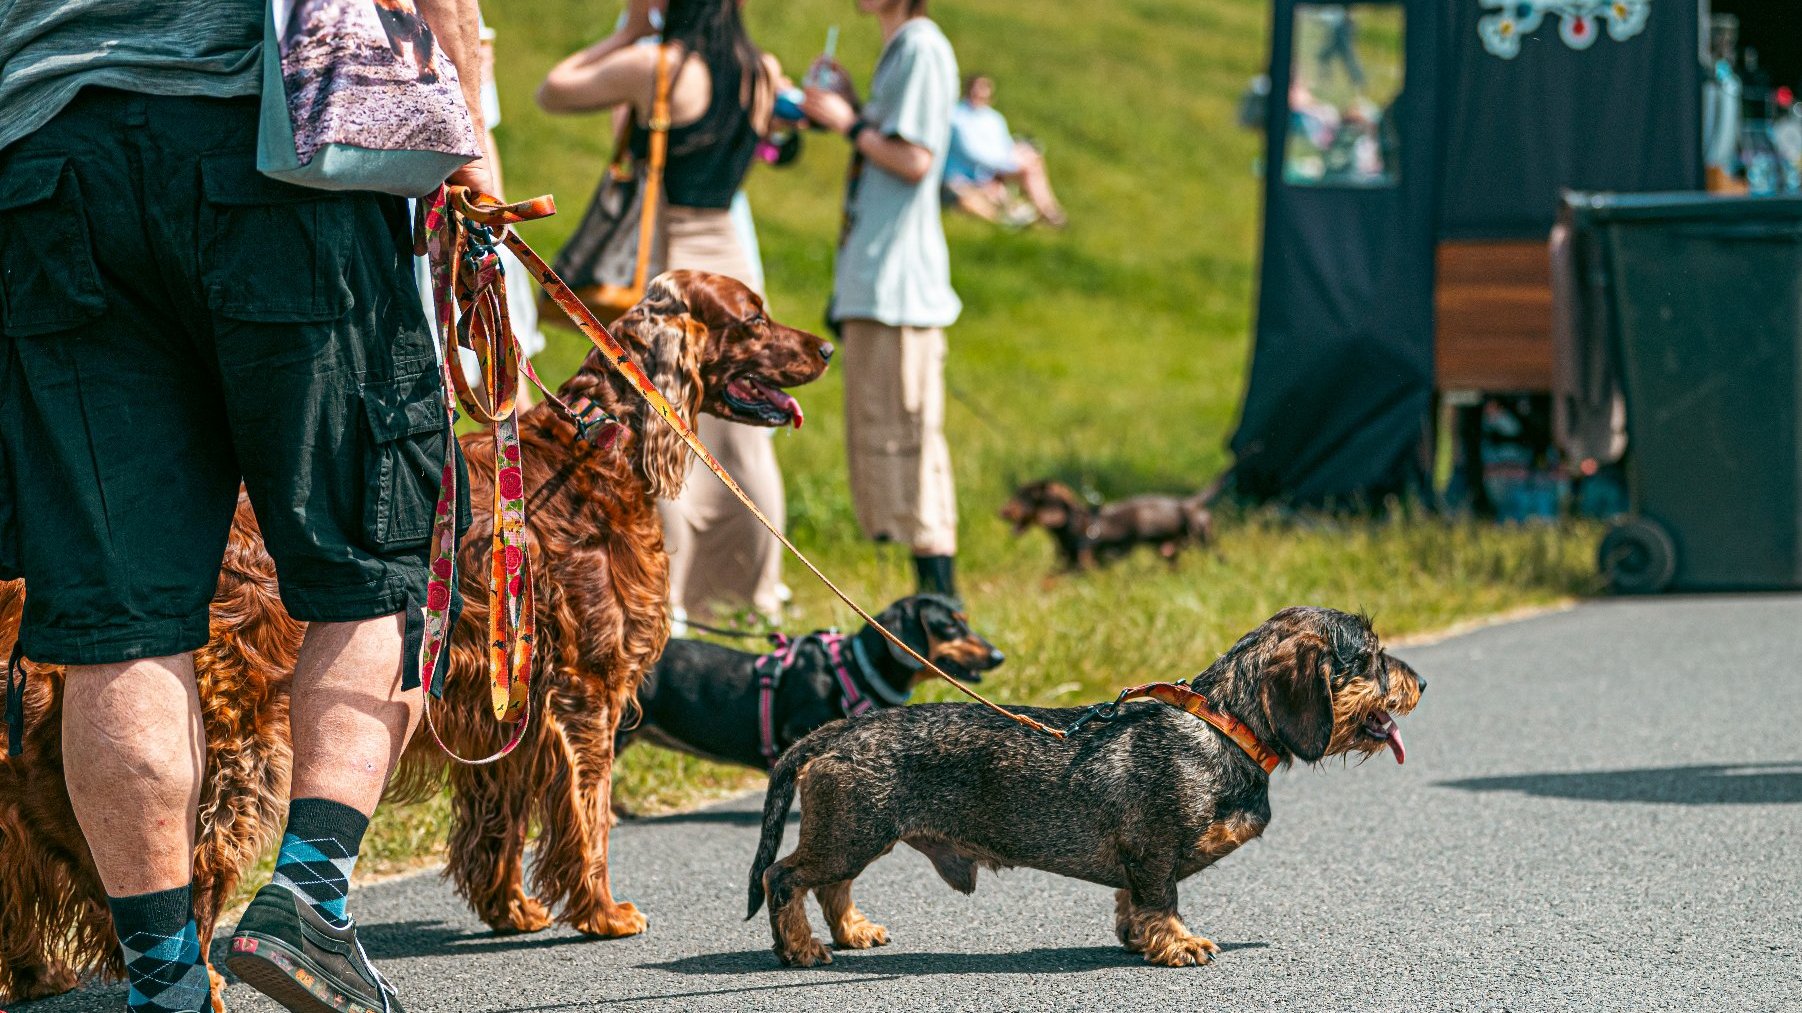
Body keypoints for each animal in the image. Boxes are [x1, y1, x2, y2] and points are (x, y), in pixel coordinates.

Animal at [0, 270, 828, 1002]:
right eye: (753, 317)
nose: (824, 345)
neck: (601, 446)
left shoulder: (506, 709)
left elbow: (500, 825)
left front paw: (510, 909)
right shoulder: (585, 693)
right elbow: (588, 816)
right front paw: (603, 912)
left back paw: (40, 976)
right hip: (239, 747)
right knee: (189, 863)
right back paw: (205, 982)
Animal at [746, 602, 1419, 966]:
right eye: (1371, 659)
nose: (1422, 684)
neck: (1223, 725)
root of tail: (837, 731)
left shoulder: (1138, 862)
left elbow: (1132, 903)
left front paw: (1138, 938)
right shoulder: (1155, 851)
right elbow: (1163, 900)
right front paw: (1179, 945)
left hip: (854, 836)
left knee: (831, 886)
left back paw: (853, 932)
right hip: (852, 833)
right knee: (783, 878)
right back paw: (800, 949)